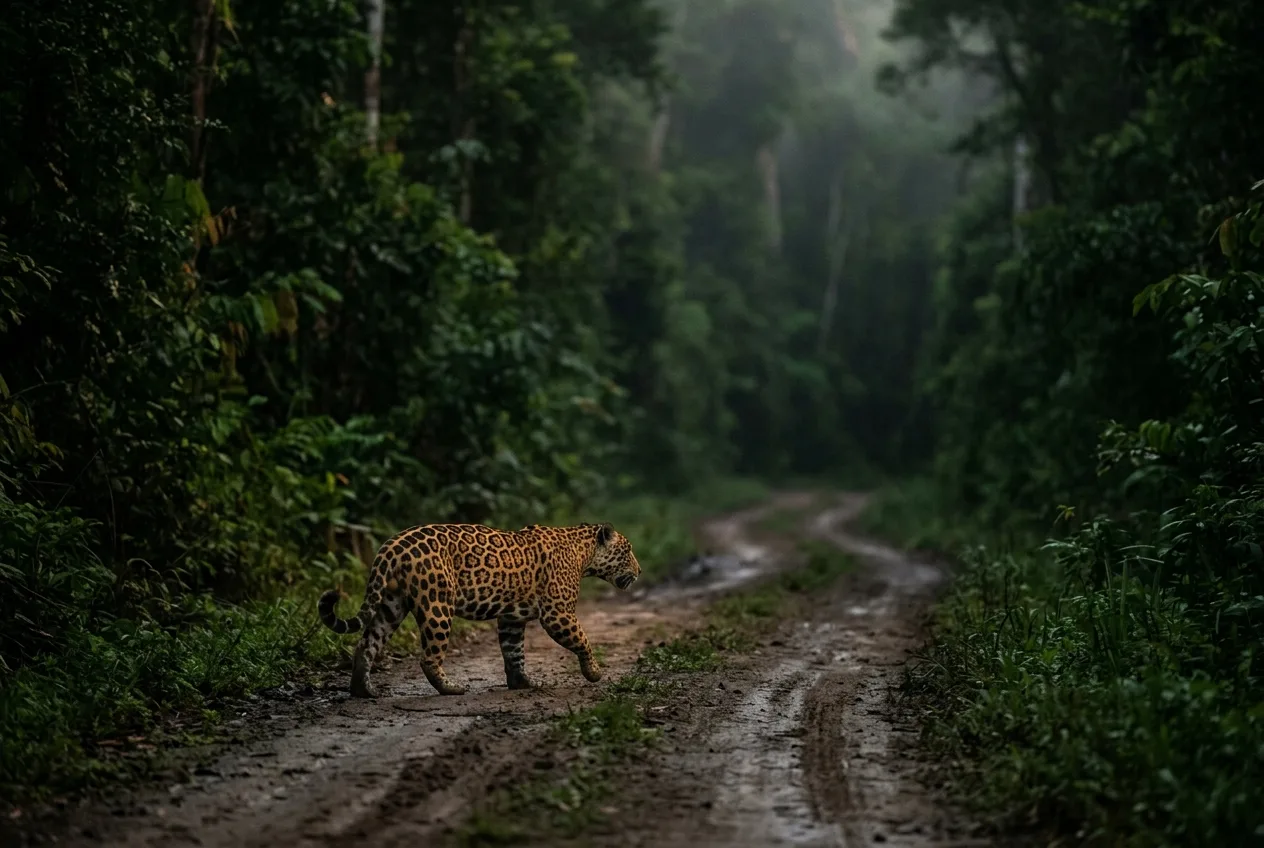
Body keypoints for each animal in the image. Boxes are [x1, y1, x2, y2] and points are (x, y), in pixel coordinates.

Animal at [317, 521, 641, 698]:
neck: (583, 551)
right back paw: (451, 688)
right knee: (428, 657)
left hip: (391, 605)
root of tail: (391, 547)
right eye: (627, 551)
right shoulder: (557, 613)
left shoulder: (511, 618)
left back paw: (363, 690)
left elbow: (514, 651)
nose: (639, 571)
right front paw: (594, 672)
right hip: (437, 605)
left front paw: (522, 682)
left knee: (367, 644)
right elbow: (583, 639)